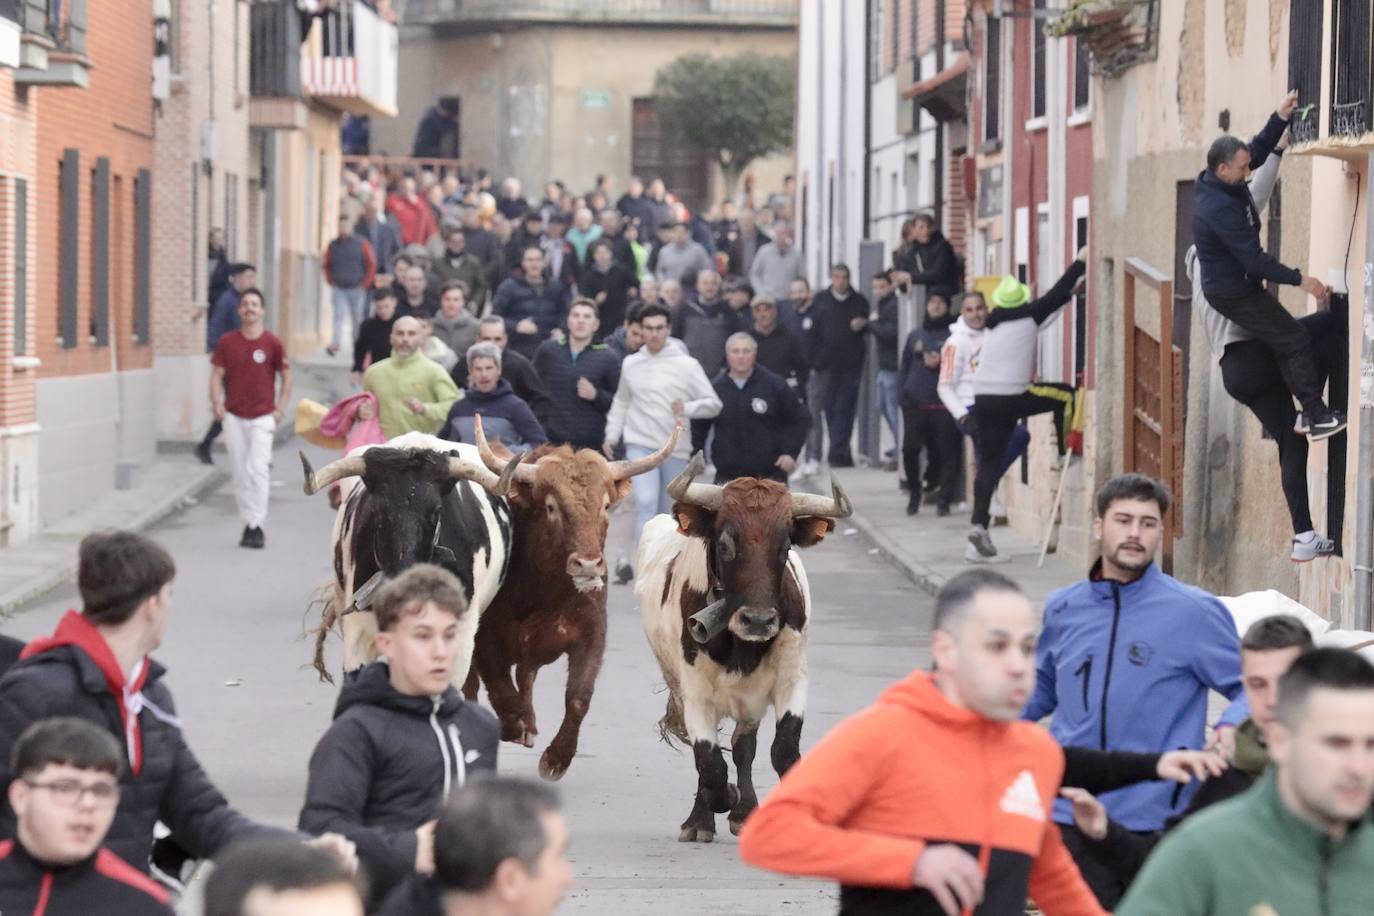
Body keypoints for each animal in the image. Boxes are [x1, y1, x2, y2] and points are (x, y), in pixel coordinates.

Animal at [632, 453, 846, 845]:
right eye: (725, 544)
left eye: (785, 547)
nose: (758, 620)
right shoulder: (694, 691)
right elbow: (710, 762)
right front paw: (716, 805)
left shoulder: (792, 676)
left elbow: (783, 751)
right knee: (709, 757)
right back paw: (702, 818)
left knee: (745, 747)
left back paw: (745, 813)